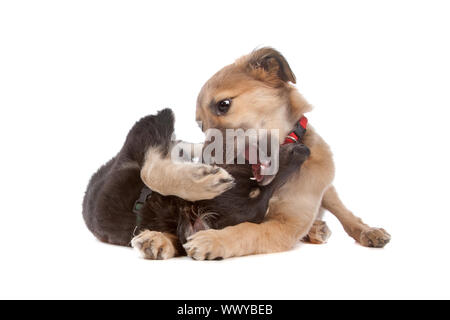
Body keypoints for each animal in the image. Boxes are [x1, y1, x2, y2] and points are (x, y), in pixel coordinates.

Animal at [141, 48, 390, 262]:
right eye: (201, 125)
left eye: (224, 104)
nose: (205, 160)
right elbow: (153, 177)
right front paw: (162, 233)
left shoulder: (286, 225)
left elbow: (247, 231)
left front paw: (214, 240)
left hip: (328, 190)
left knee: (346, 216)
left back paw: (366, 231)